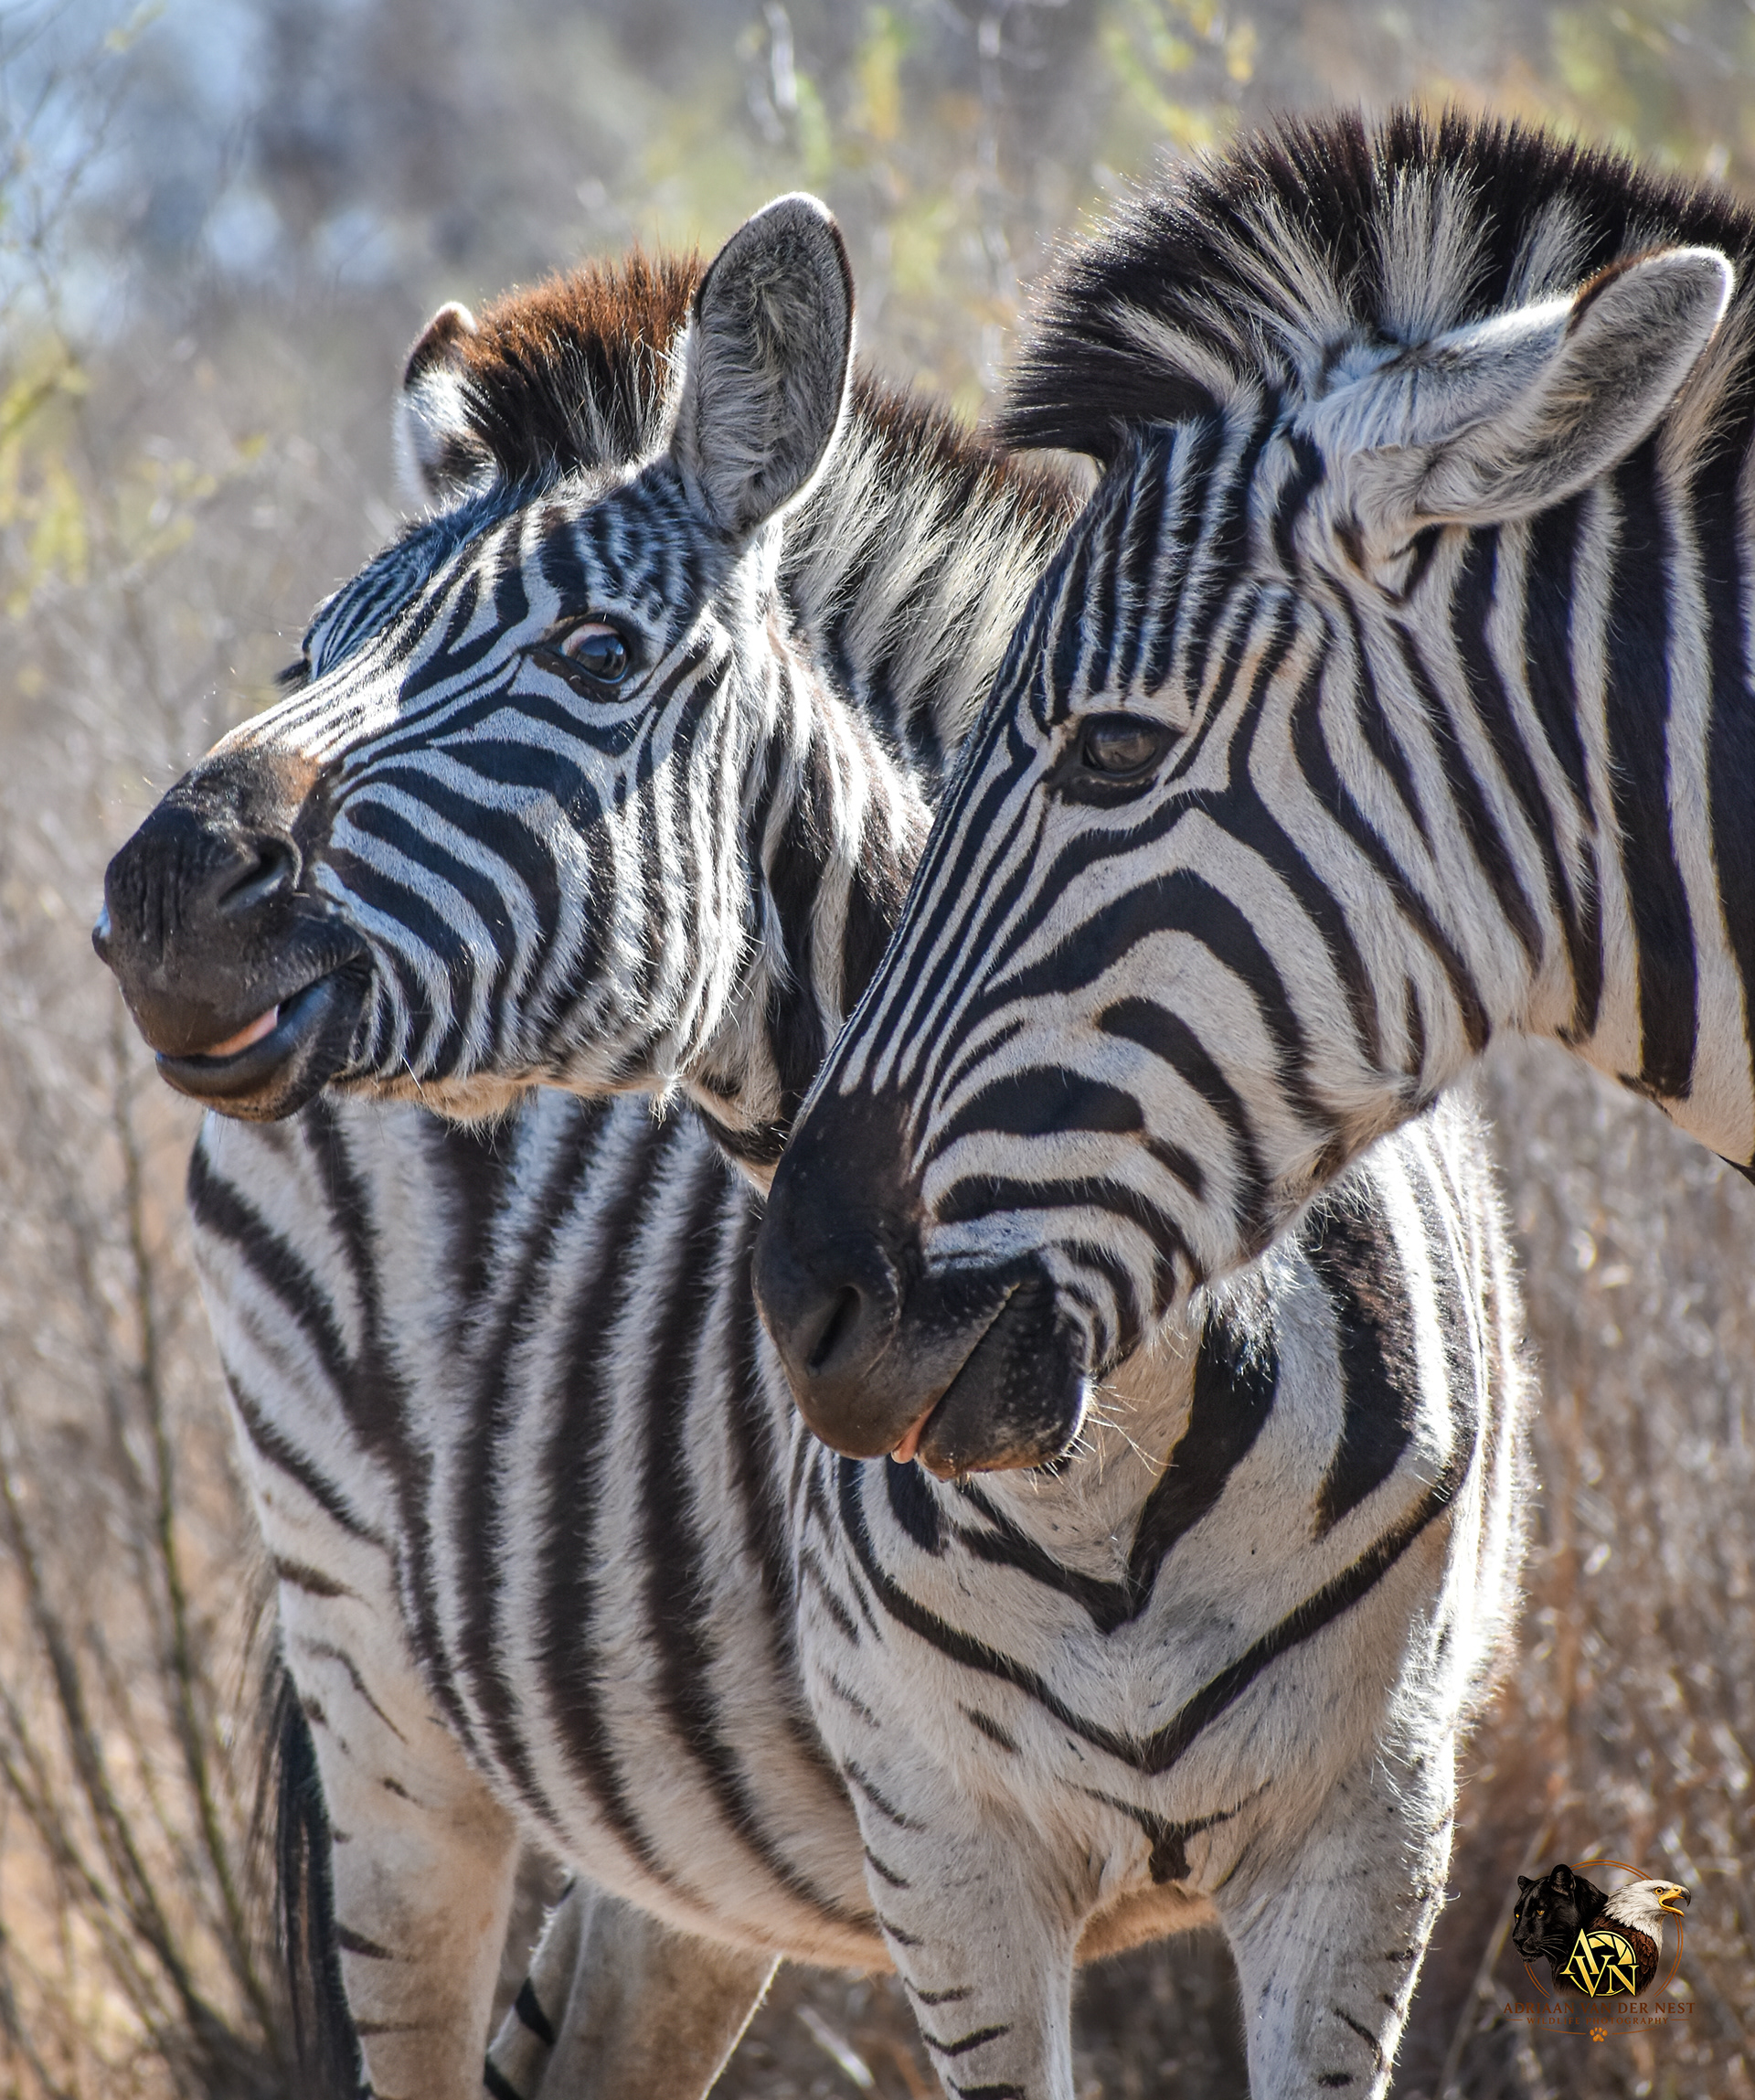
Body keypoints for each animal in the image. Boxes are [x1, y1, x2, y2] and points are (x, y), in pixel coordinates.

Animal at [95, 196, 1528, 2100]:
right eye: (303, 671)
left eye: (598, 658)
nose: (159, 891)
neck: (1110, 1441)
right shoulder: (947, 1853)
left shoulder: (1373, 1835)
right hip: (382, 1714)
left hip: (683, 1842)